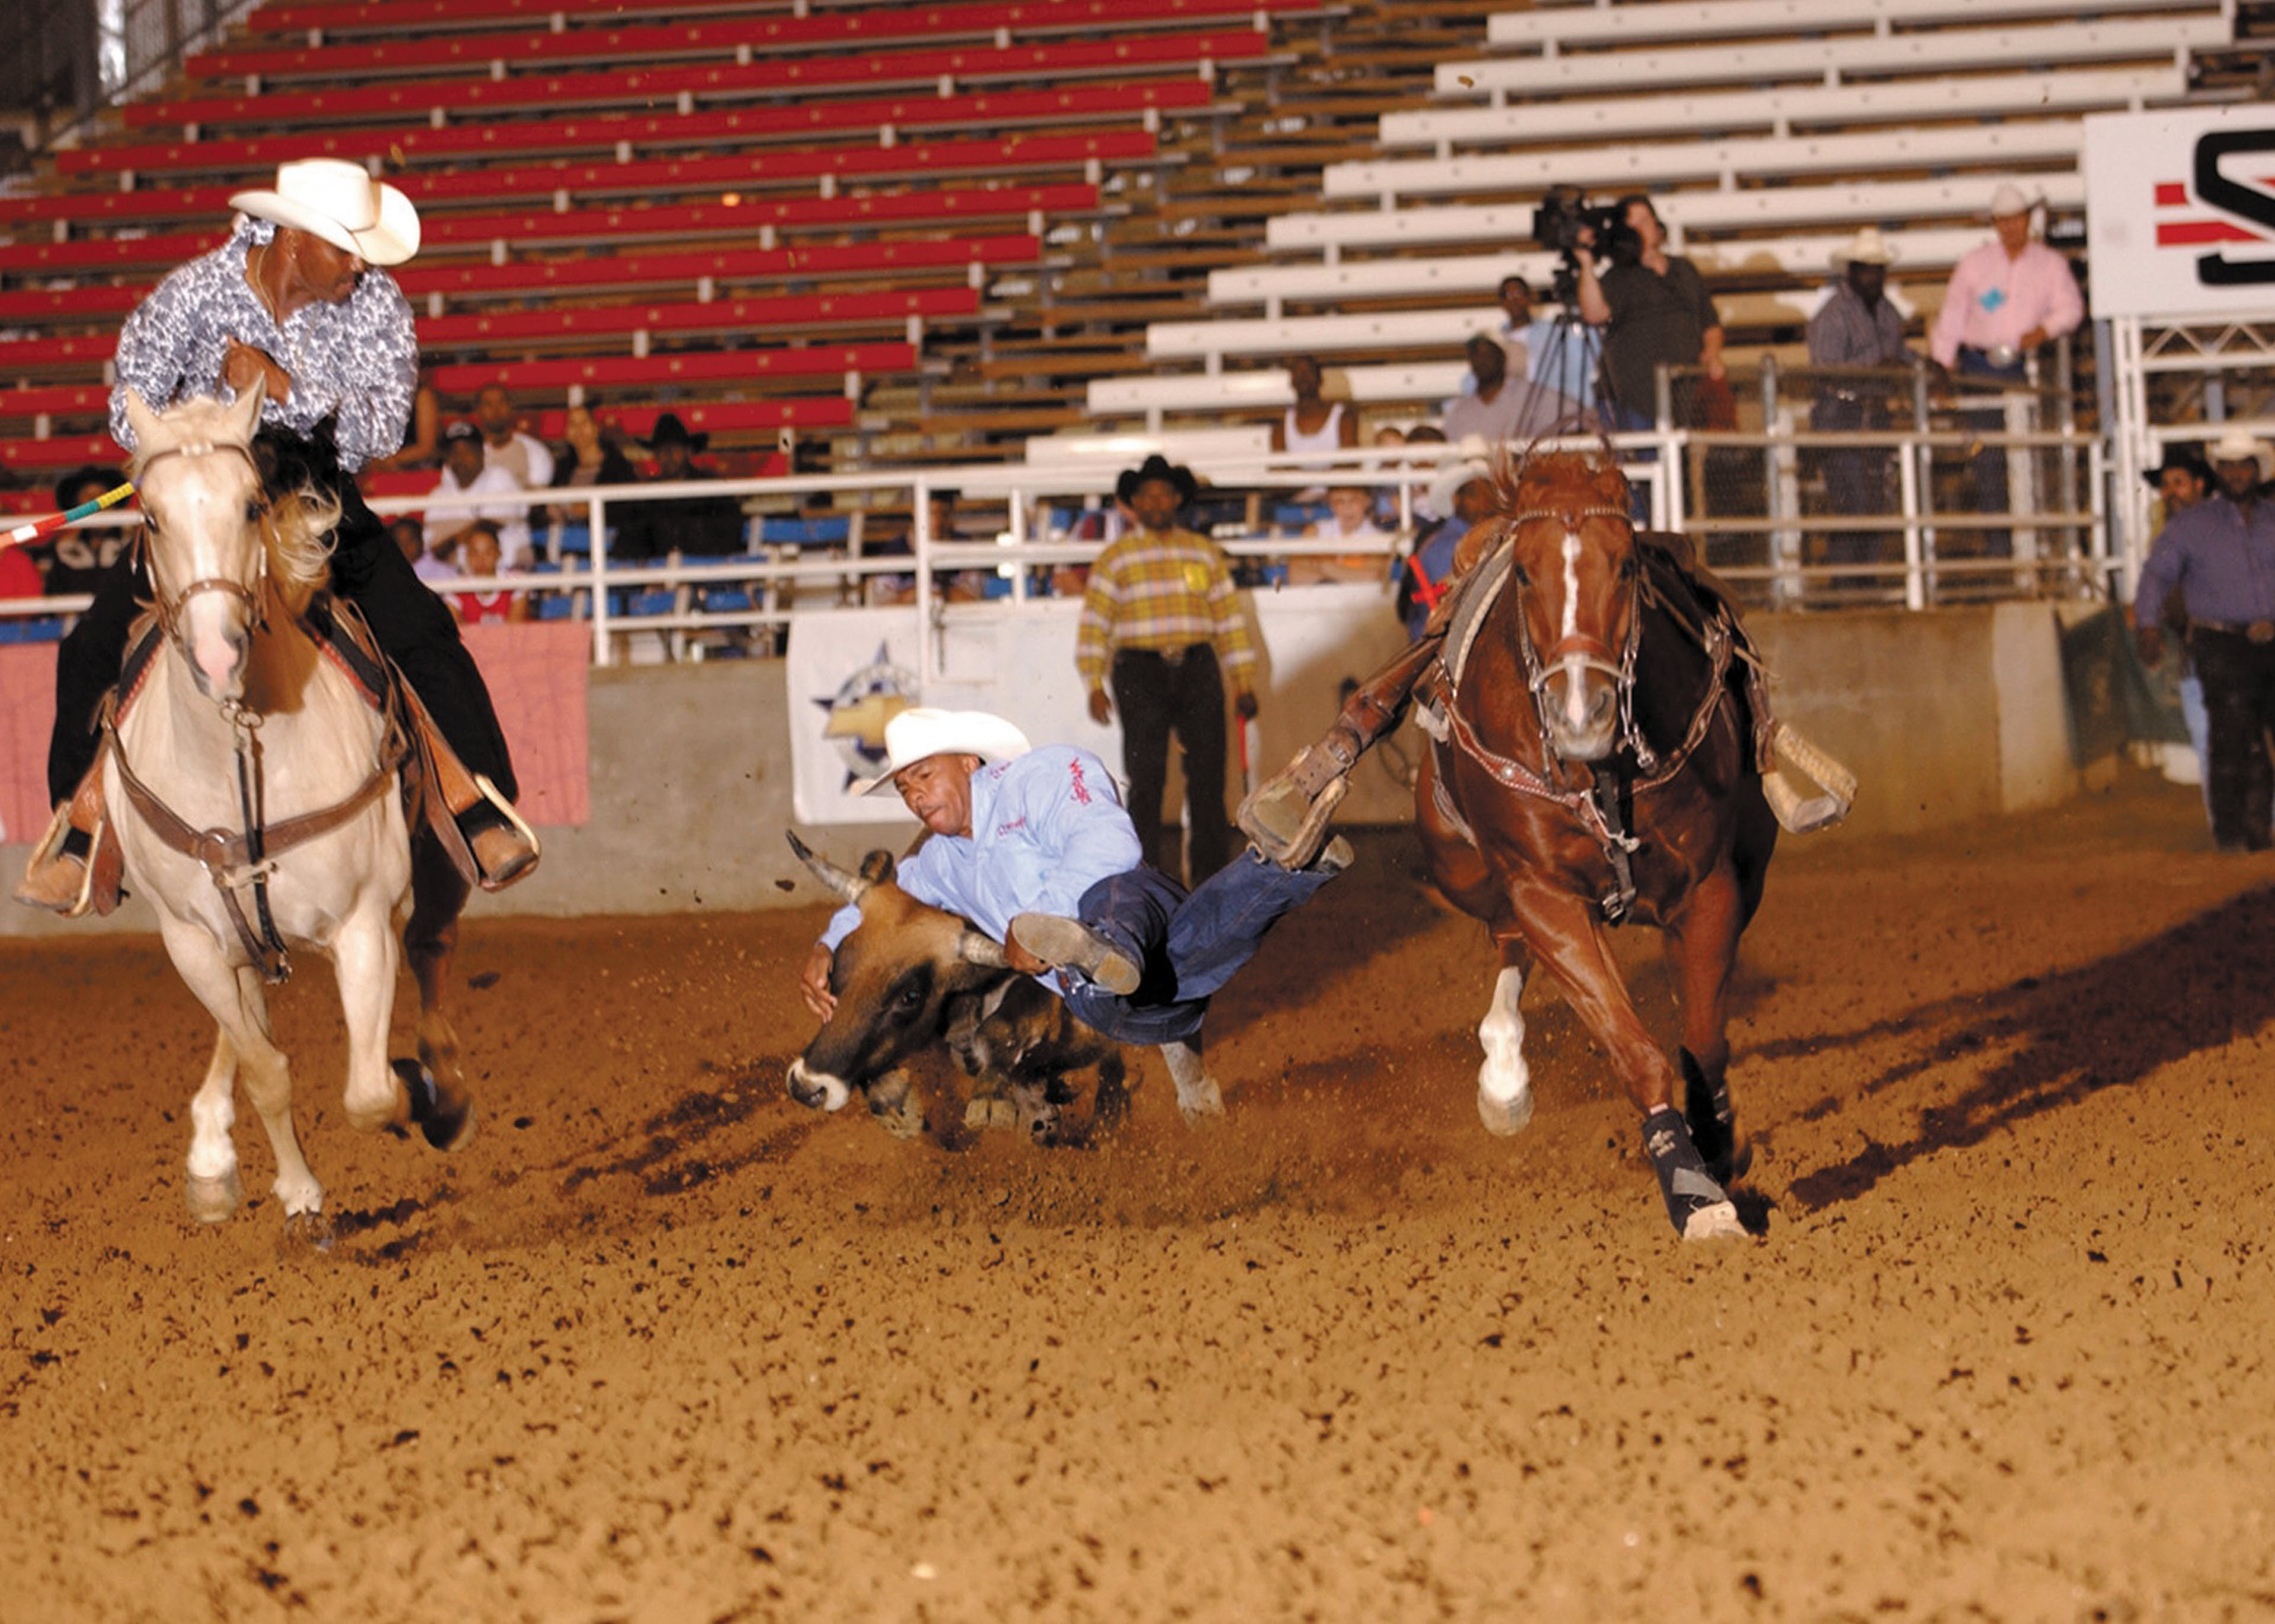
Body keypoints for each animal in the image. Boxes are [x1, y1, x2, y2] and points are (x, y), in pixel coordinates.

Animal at [115, 382, 475, 1237]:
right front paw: (302, 1199)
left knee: (431, 947)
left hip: (436, 863)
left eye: (252, 505)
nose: (218, 655)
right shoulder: (192, 942)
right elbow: (267, 1070)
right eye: (152, 516)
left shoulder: (362, 923)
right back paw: (212, 1158)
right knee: (248, 1025)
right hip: (232, 941)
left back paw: (442, 1087)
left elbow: (371, 1091)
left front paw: (418, 1090)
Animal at [1420, 445, 1774, 1237]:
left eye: (1626, 566)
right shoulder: (1543, 894)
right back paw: (1504, 1078)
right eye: (1526, 573)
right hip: (1459, 869)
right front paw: (1693, 1190)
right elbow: (1634, 1048)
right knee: (1506, 937)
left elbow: (1703, 1038)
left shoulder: (1710, 886)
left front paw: (1719, 1144)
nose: (1581, 715)